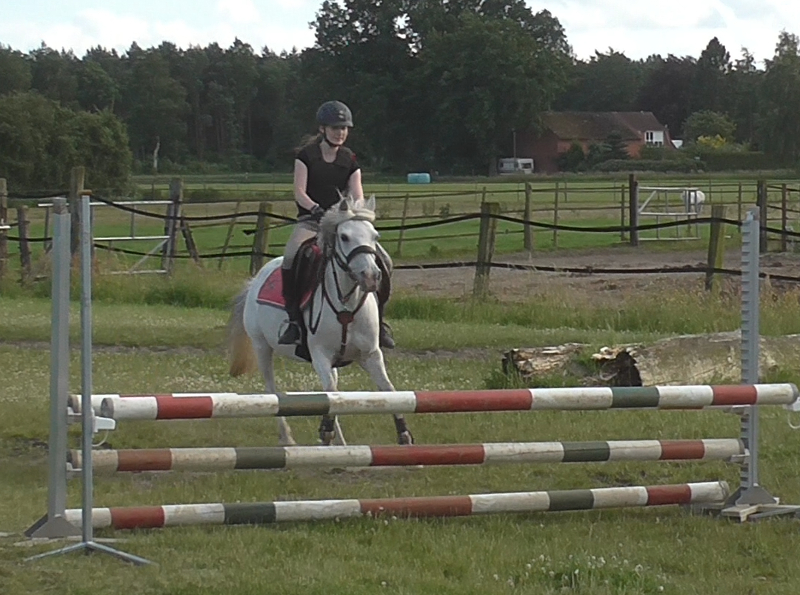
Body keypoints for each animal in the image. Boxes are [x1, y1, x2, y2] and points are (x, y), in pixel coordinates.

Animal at [226, 194, 414, 447]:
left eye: (375, 236)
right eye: (344, 237)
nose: (371, 276)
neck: (346, 304)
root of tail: (256, 279)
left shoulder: (370, 355)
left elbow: (389, 390)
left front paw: (403, 433)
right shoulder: (320, 354)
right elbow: (331, 392)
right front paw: (325, 430)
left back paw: (339, 444)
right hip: (261, 346)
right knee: (272, 390)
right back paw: (288, 438)